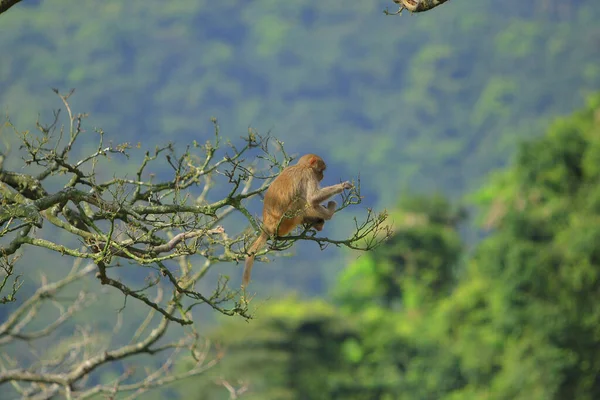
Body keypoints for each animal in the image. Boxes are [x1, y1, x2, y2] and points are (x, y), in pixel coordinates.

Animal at [243, 154, 354, 288]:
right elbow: (313, 198)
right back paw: (328, 214)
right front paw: (342, 186)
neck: (301, 166)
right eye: (321, 170)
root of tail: (267, 227)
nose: (322, 176)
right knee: (302, 200)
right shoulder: (308, 174)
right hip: (286, 220)